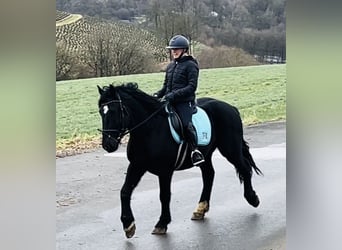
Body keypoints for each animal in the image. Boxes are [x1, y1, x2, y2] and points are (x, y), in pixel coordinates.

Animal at [97, 82, 262, 238]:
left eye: (114, 111)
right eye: (100, 112)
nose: (108, 145)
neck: (151, 129)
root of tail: (231, 108)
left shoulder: (165, 171)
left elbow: (164, 196)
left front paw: (162, 223)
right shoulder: (137, 165)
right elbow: (125, 192)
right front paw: (128, 225)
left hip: (230, 149)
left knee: (244, 169)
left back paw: (252, 198)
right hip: (206, 155)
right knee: (209, 175)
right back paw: (200, 209)